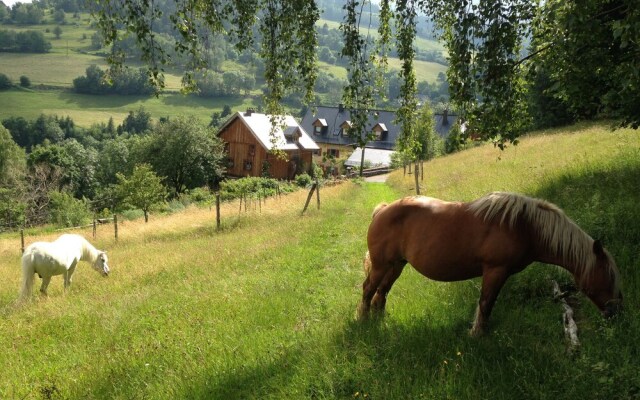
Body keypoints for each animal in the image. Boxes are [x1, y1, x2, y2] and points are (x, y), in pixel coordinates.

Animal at [358, 192, 624, 336]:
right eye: (608, 276)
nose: (617, 312)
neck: (525, 227)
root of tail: (383, 210)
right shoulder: (495, 270)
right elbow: (486, 303)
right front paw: (477, 334)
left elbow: (489, 304)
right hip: (382, 265)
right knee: (368, 289)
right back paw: (362, 321)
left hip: (396, 265)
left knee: (381, 294)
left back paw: (380, 323)